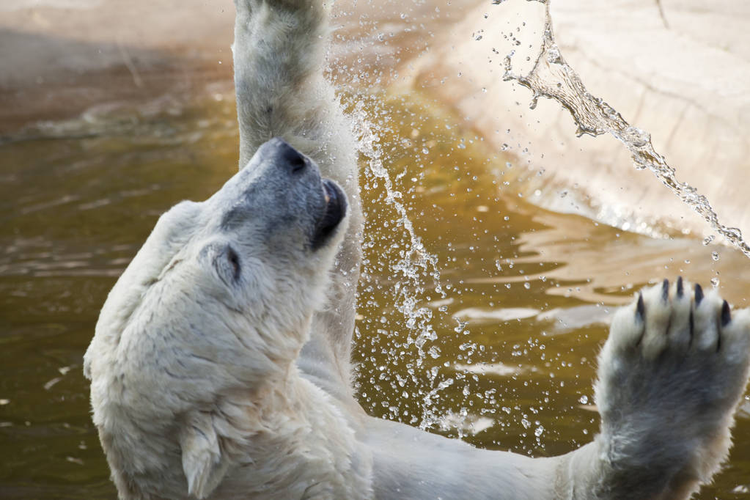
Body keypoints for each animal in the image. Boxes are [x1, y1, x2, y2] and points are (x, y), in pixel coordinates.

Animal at [83, 0, 750, 499]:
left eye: (185, 214)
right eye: (228, 265)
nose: (285, 163)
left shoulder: (320, 387)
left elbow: (315, 145)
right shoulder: (374, 479)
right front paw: (677, 345)